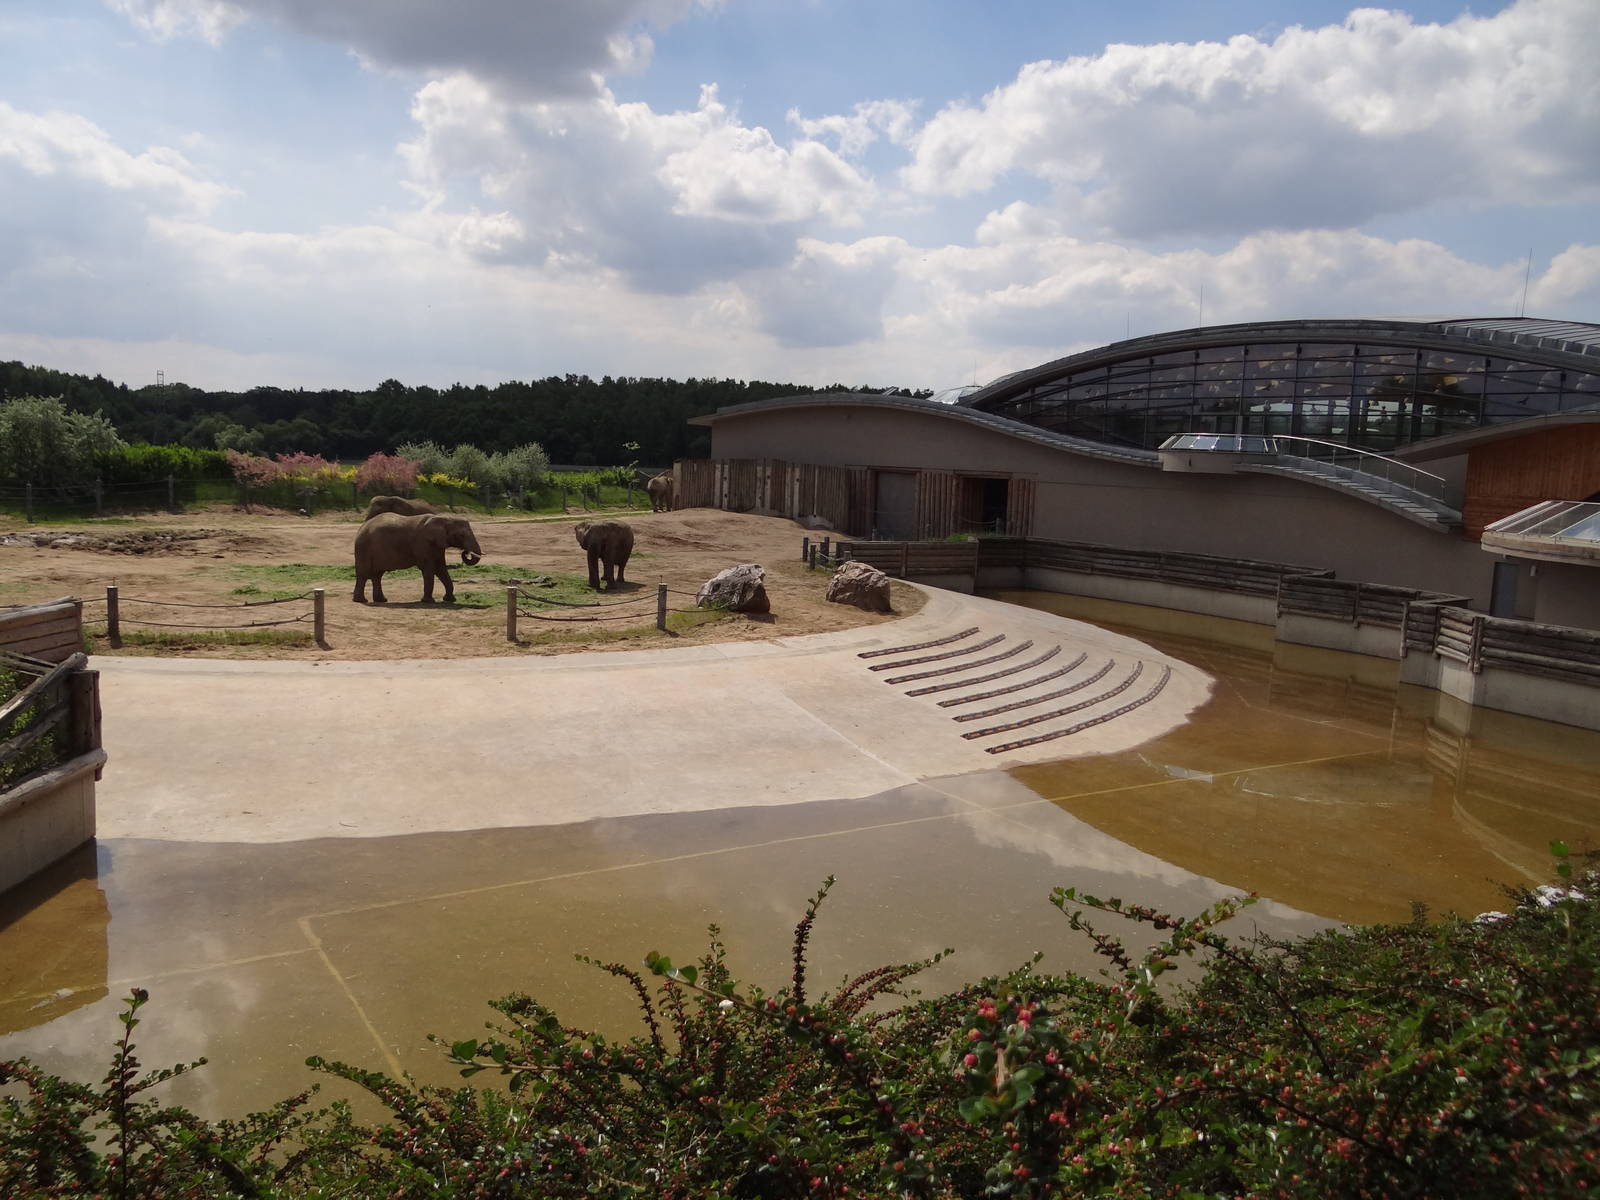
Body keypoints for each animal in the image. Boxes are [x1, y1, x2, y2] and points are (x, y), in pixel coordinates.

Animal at [354, 513, 482, 604]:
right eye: (461, 535)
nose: (466, 552)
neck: (444, 518)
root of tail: (361, 528)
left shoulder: (438, 545)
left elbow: (441, 569)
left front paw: (450, 600)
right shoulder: (423, 543)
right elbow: (429, 569)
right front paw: (429, 601)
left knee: (377, 575)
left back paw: (381, 600)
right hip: (363, 548)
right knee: (364, 574)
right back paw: (361, 600)